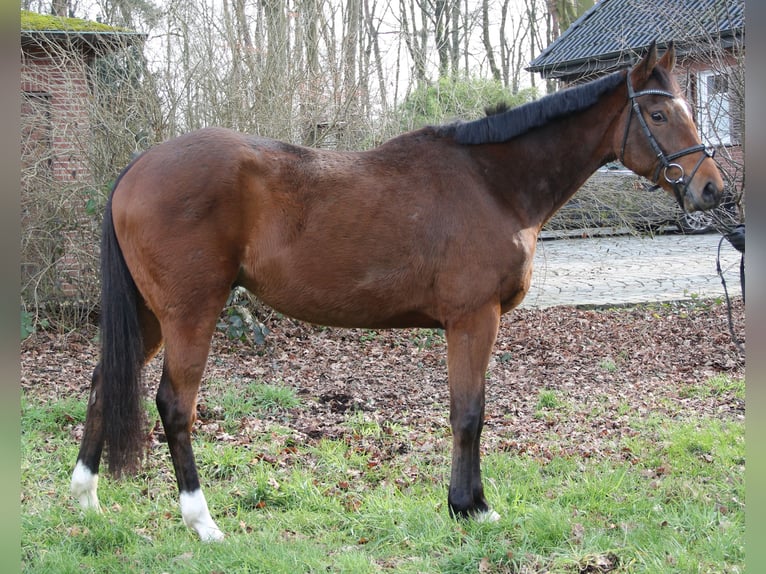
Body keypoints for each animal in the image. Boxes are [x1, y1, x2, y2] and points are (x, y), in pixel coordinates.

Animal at [72, 42, 728, 544]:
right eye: (660, 116)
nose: (712, 189)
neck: (492, 183)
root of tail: (134, 170)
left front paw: (465, 504)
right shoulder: (473, 319)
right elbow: (469, 413)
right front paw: (471, 507)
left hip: (150, 316)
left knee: (105, 381)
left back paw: (84, 499)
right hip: (191, 313)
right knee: (174, 406)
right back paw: (203, 524)